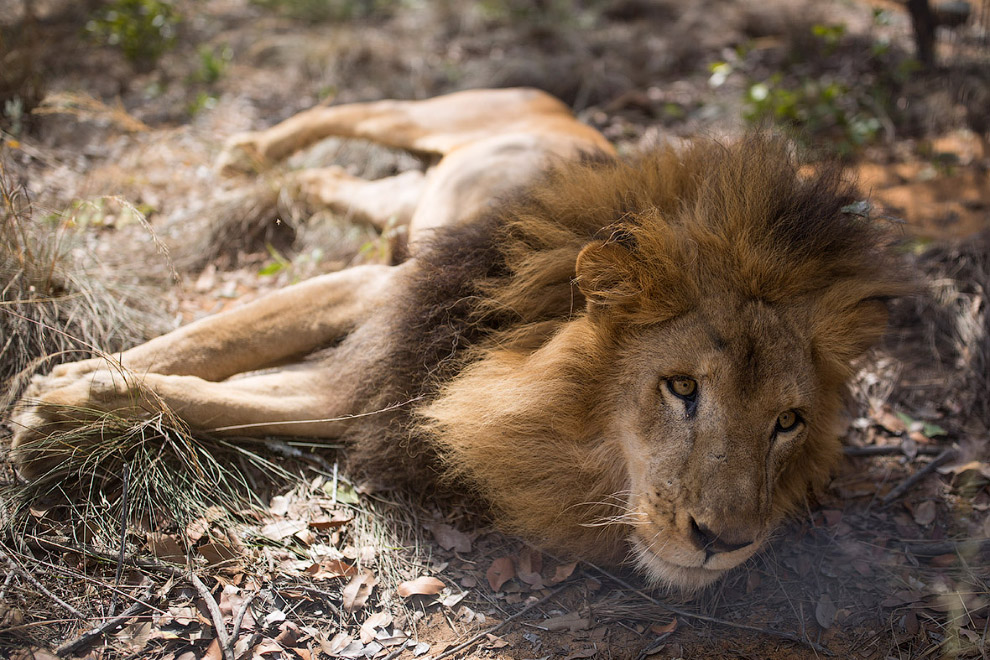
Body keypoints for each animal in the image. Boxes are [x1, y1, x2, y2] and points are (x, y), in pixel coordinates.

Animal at [5, 86, 916, 588]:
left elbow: (225, 397)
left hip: (409, 200)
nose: (722, 544)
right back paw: (248, 146)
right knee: (350, 110)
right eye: (681, 388)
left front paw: (65, 404)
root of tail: (559, 105)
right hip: (431, 116)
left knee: (332, 179)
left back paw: (267, 169)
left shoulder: (381, 381)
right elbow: (209, 342)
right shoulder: (381, 298)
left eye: (788, 423)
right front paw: (51, 393)